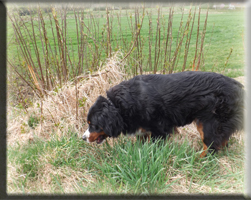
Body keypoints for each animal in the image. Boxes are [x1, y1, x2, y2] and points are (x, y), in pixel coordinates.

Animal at [82, 71, 243, 157]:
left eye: (93, 124)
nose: (83, 138)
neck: (119, 106)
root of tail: (238, 87)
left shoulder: (159, 129)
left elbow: (156, 147)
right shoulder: (143, 130)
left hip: (209, 122)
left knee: (211, 145)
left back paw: (198, 160)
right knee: (222, 141)